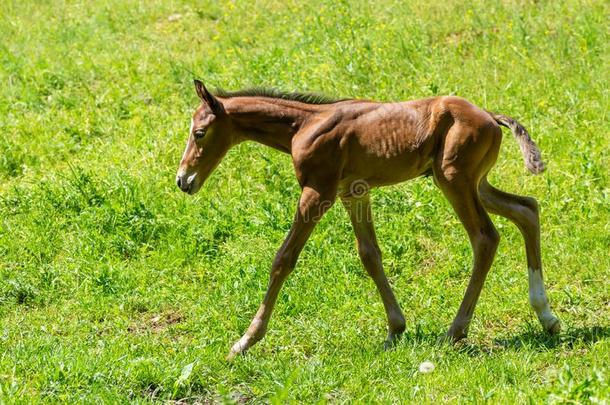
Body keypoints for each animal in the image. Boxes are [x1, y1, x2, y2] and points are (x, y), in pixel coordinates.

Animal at [173, 80, 560, 358]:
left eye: (199, 132)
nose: (182, 180)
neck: (303, 124)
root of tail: (491, 116)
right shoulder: (353, 192)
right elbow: (370, 255)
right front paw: (395, 329)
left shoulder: (318, 192)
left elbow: (284, 258)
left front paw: (245, 341)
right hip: (475, 183)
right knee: (527, 209)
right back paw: (547, 317)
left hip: (455, 179)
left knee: (485, 237)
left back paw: (456, 330)